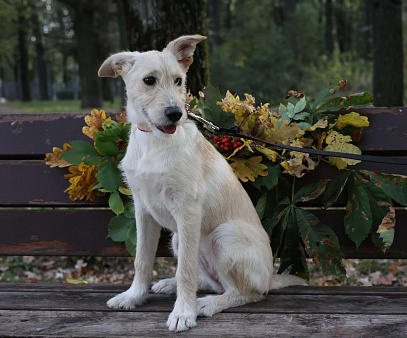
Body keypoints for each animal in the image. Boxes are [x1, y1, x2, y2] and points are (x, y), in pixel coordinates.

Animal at [99, 35, 306, 332]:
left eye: (178, 81)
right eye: (149, 80)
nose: (175, 113)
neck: (154, 142)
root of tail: (270, 278)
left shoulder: (188, 211)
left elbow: (184, 268)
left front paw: (183, 312)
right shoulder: (143, 210)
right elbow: (142, 259)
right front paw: (134, 296)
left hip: (224, 236)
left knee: (248, 293)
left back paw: (207, 304)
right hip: (177, 239)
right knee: (212, 281)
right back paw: (171, 284)